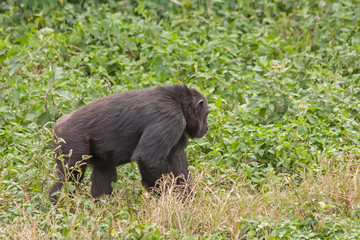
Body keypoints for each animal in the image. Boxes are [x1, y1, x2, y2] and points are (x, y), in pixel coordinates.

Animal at [49, 83, 210, 200]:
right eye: (207, 114)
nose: (206, 127)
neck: (179, 104)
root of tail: (58, 123)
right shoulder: (171, 119)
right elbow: (148, 158)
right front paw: (164, 197)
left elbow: (177, 162)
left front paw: (184, 200)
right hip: (71, 140)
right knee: (71, 175)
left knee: (104, 171)